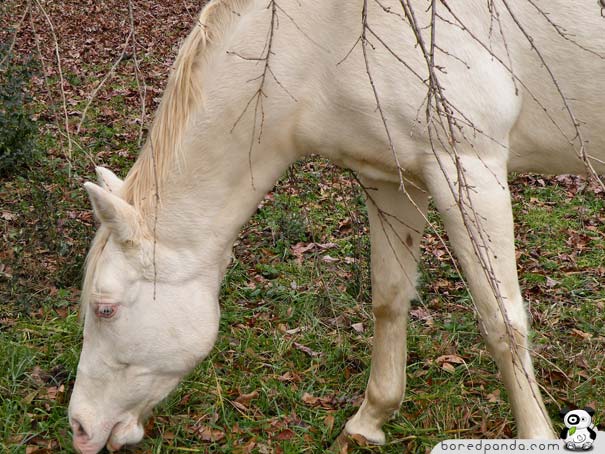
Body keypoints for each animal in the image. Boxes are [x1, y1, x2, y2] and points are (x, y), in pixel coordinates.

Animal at [67, 1, 604, 452]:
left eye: (105, 309)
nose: (79, 427)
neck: (322, 34)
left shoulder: (468, 171)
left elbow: (501, 319)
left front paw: (535, 435)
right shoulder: (389, 180)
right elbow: (389, 299)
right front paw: (369, 421)